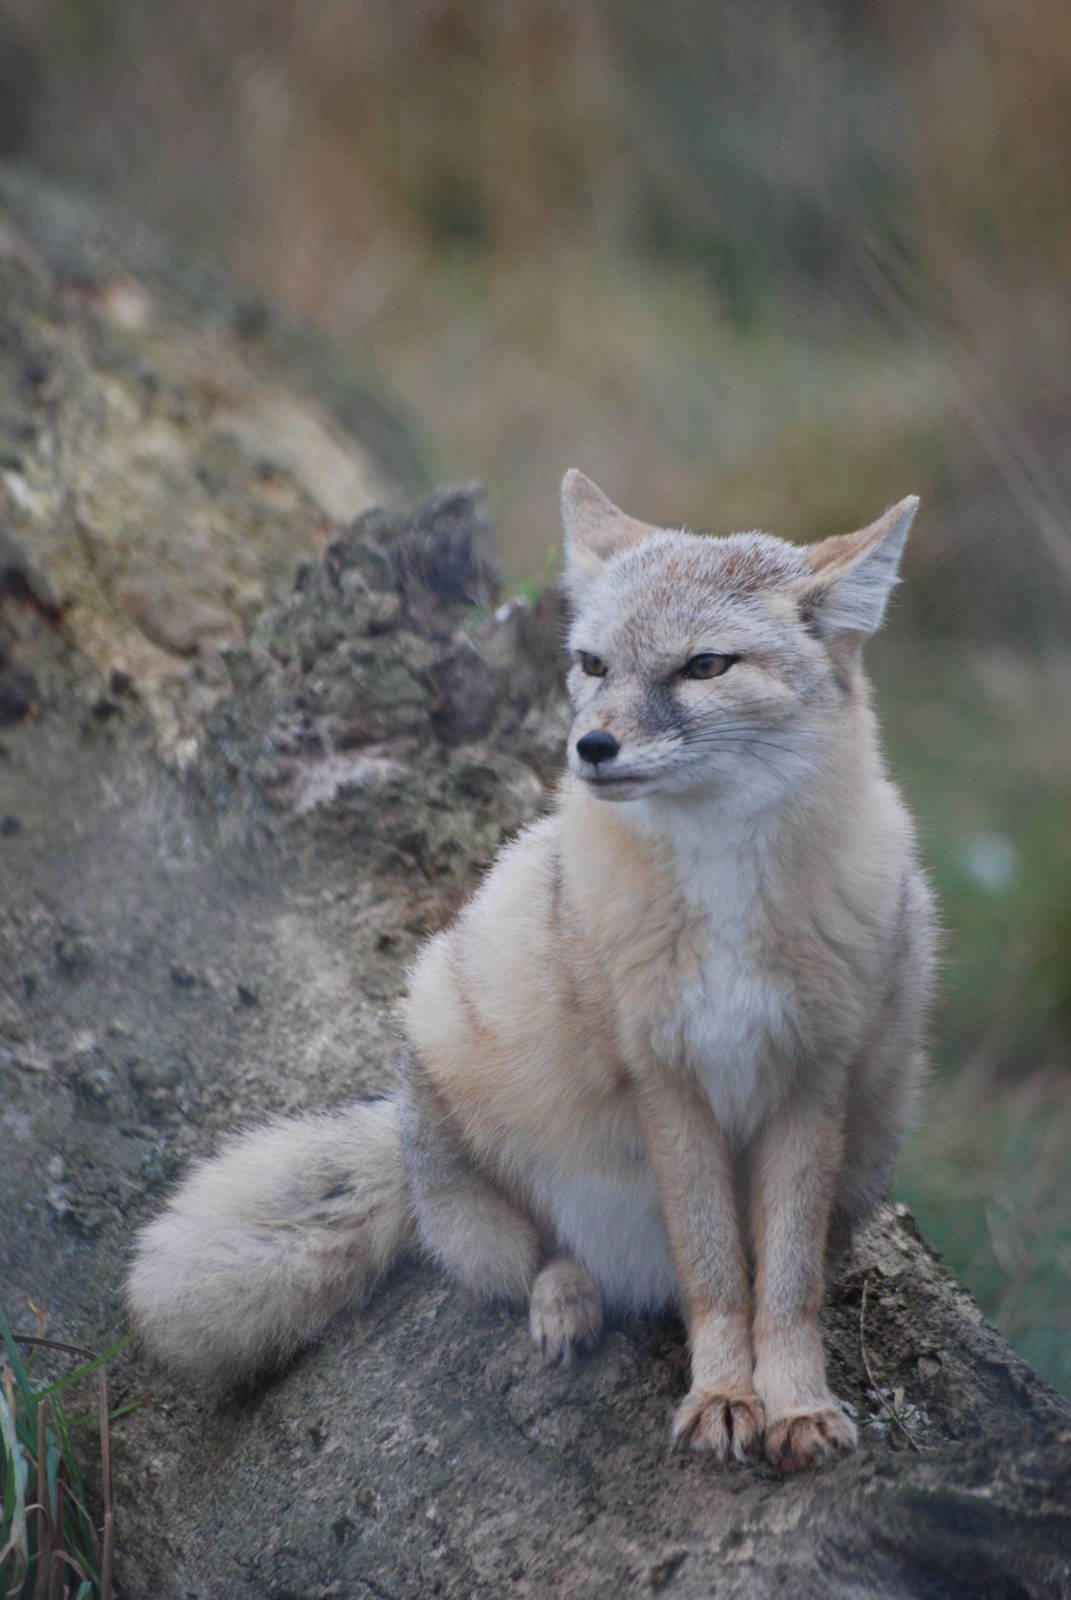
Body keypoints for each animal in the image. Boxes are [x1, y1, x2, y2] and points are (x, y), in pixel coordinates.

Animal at [127, 470, 936, 1472]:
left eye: (704, 667)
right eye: (591, 665)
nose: (591, 747)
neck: (725, 900)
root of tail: (400, 1131)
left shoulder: (810, 1085)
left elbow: (781, 1286)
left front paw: (792, 1405)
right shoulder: (664, 1087)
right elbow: (715, 1273)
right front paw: (721, 1396)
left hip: (869, 1142)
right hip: (471, 1100)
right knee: (533, 1258)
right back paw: (566, 1303)